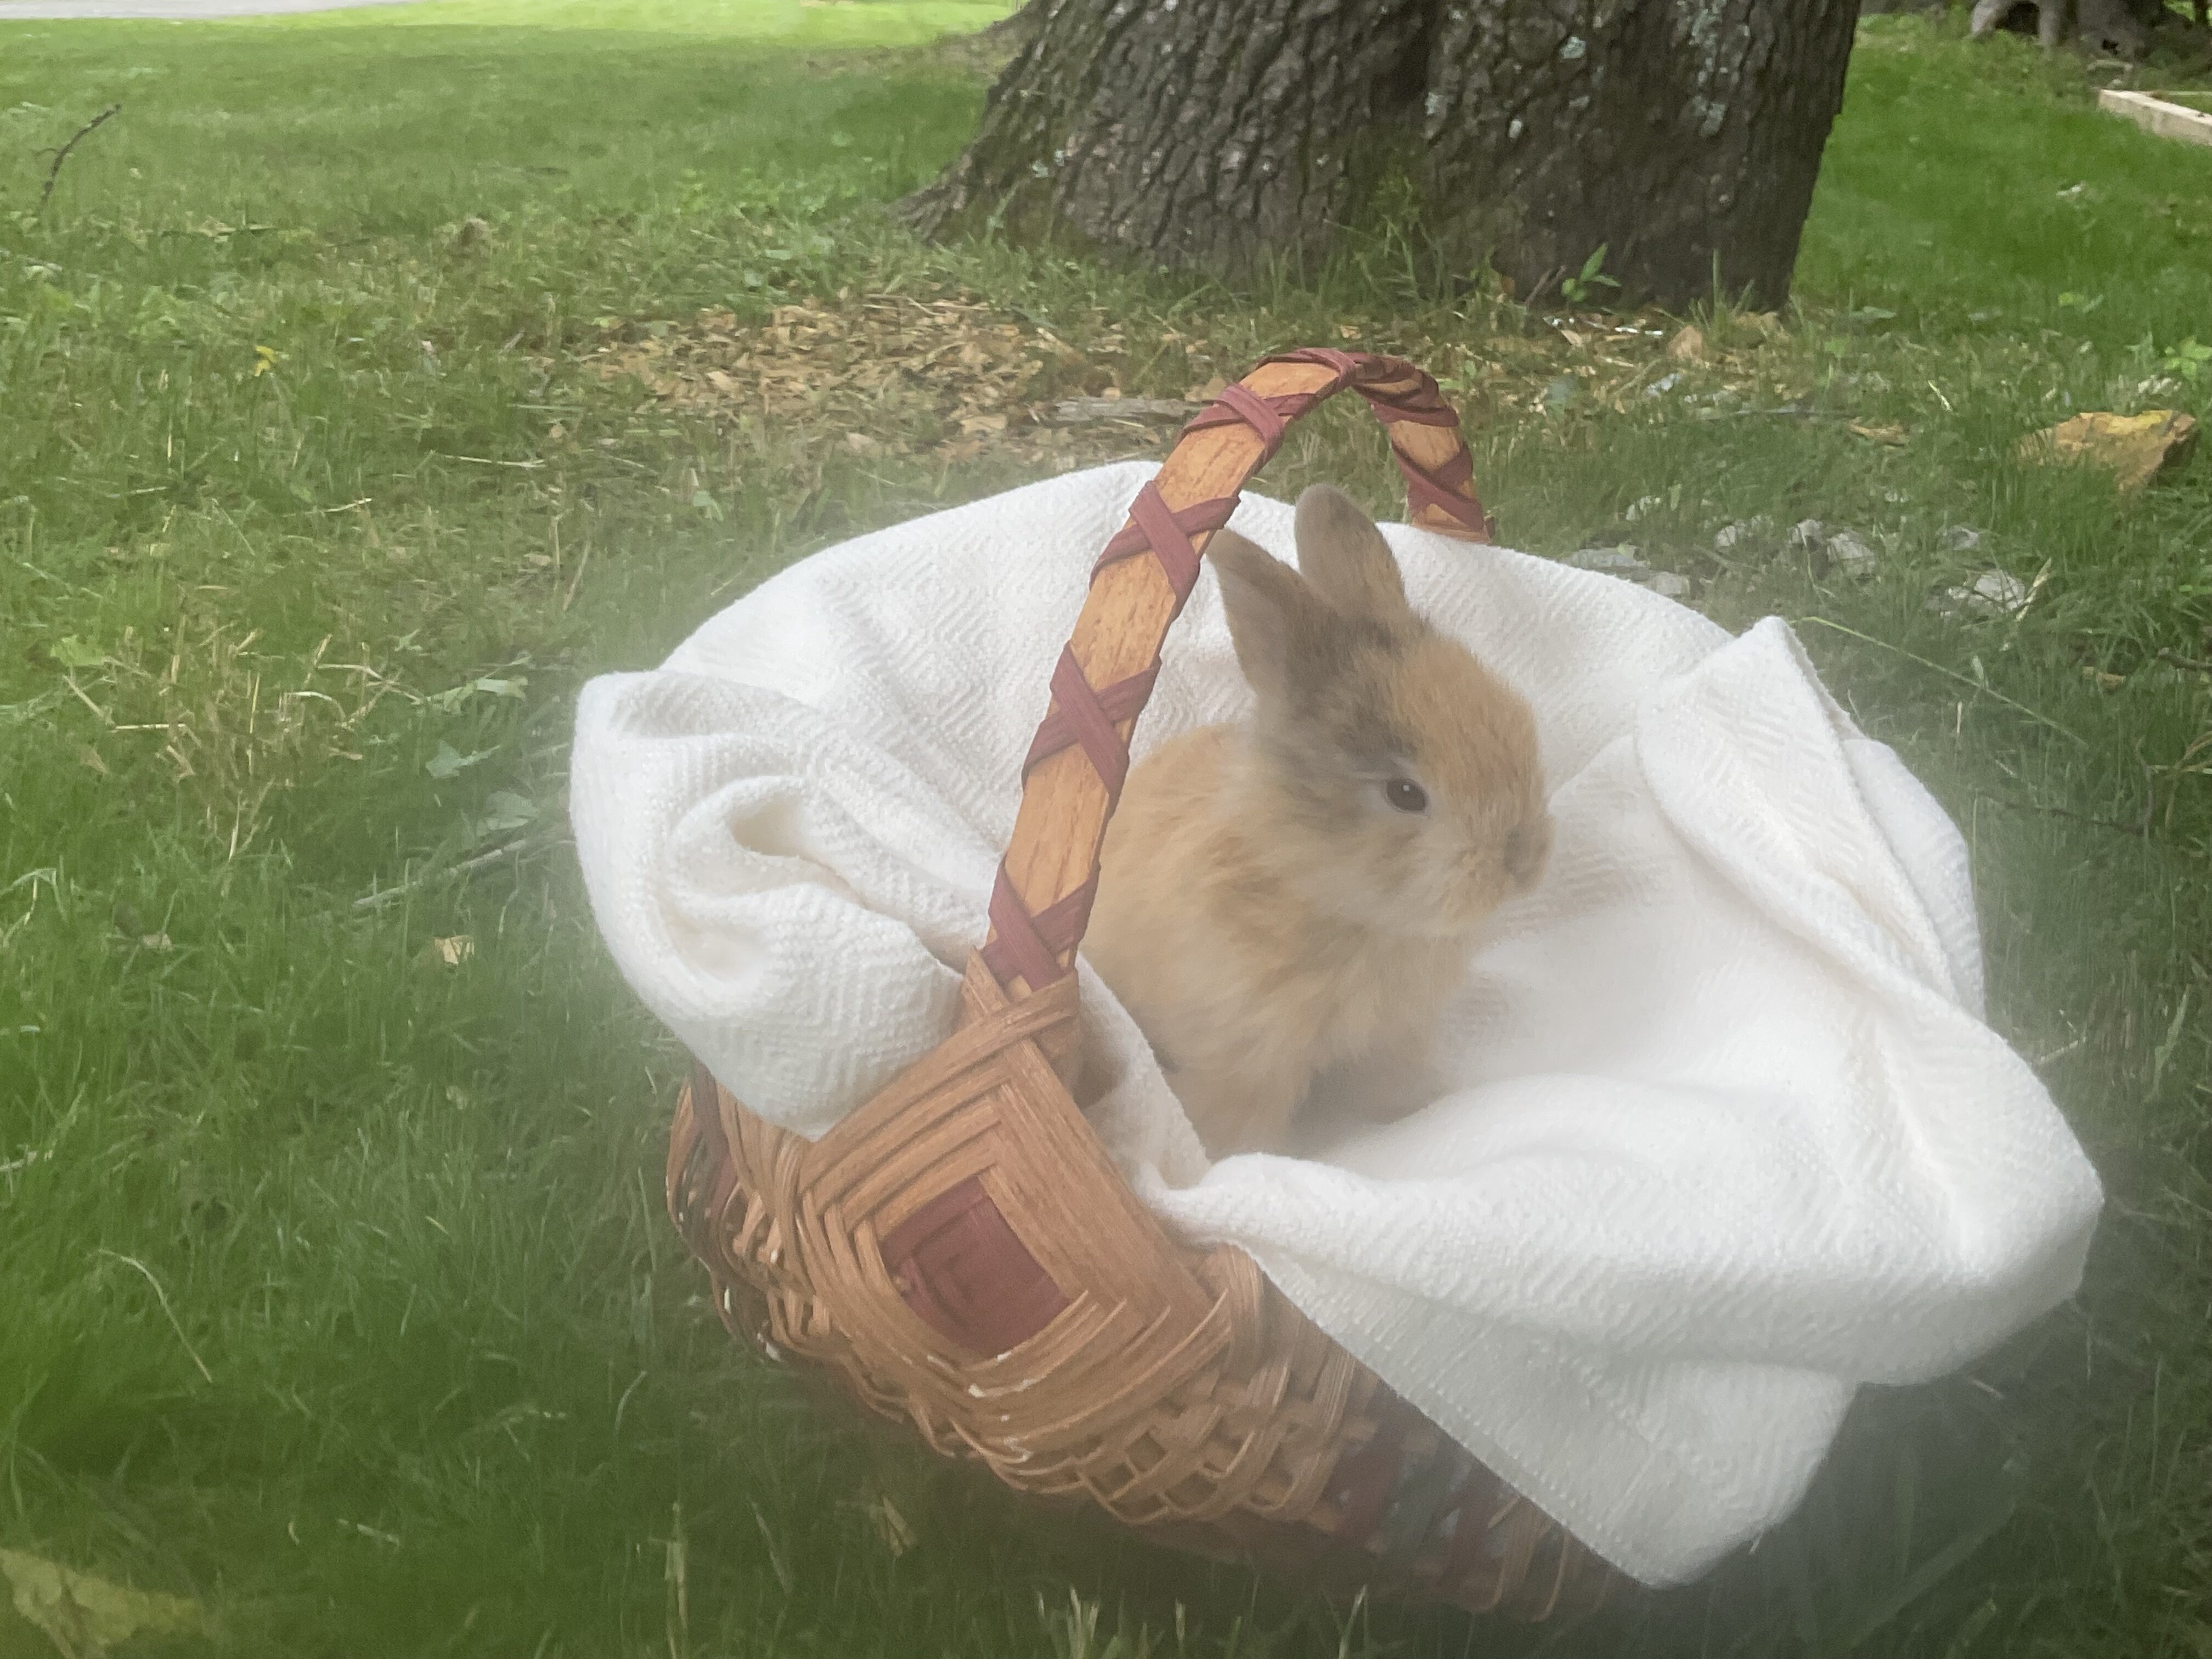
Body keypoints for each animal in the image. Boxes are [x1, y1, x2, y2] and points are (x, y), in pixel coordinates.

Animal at [1082, 484, 1553, 1160]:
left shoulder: (1396, 1038)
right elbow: (1239, 1127)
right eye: (1406, 794)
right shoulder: (1245, 1061)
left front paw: (1414, 1115)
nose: (1524, 861)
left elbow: (1392, 1090)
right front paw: (1232, 1165)